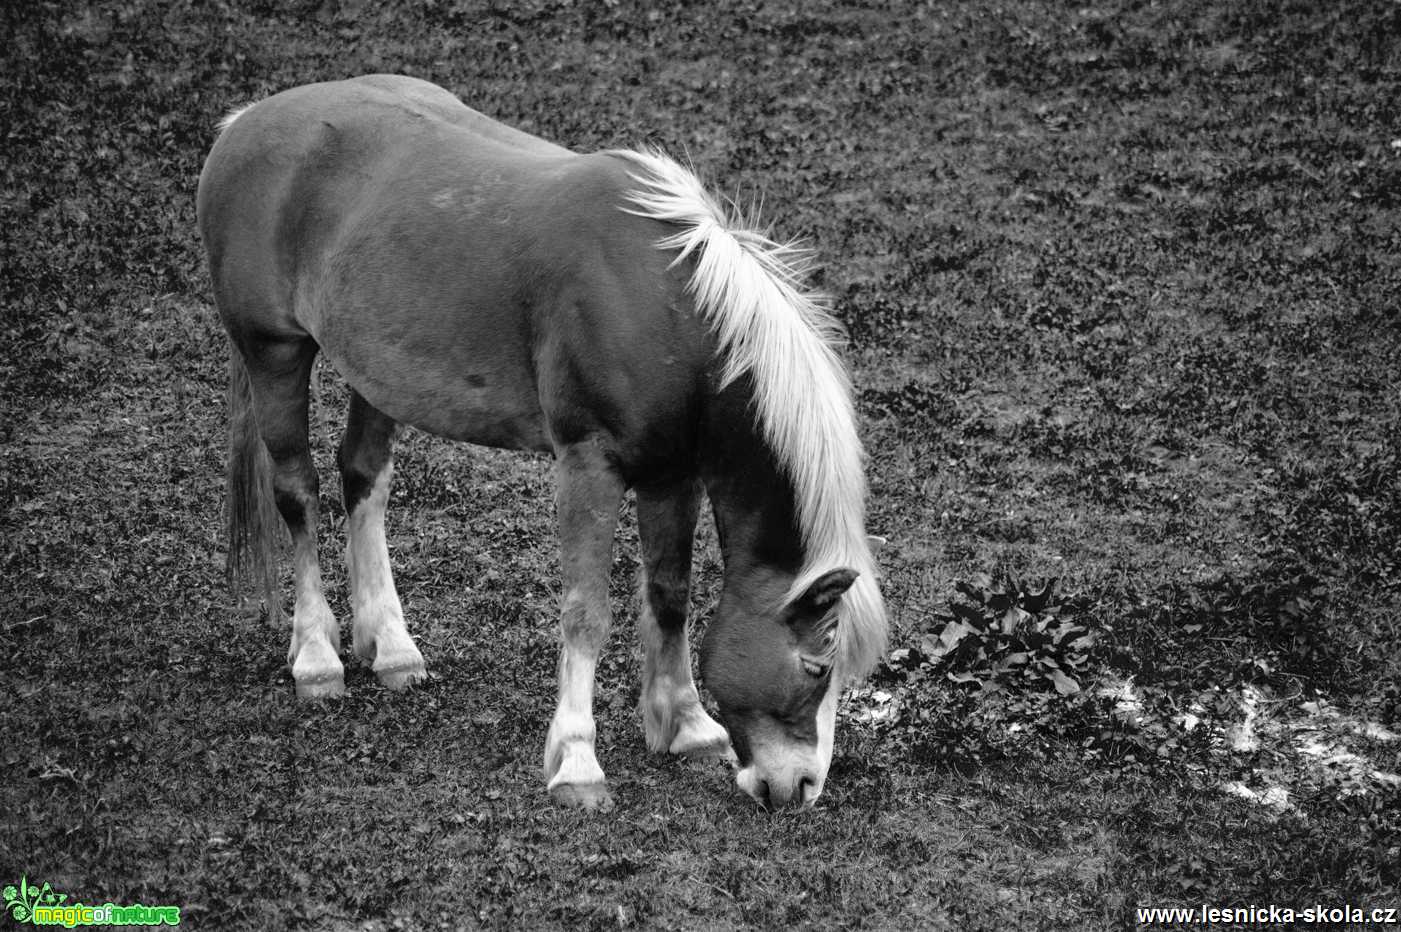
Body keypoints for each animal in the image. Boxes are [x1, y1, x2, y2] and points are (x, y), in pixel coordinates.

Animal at [194, 76, 885, 812]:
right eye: (815, 666)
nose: (802, 786)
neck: (665, 307)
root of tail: (244, 123)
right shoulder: (589, 466)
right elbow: (586, 615)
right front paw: (578, 762)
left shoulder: (672, 474)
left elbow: (669, 595)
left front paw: (688, 727)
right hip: (275, 355)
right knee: (298, 493)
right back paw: (318, 659)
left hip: (374, 377)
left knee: (364, 482)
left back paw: (392, 647)